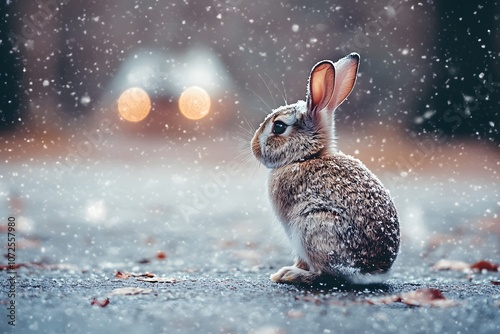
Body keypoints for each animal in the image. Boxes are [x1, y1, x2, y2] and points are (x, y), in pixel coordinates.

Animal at [252, 52, 400, 284]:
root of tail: (371, 272)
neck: (306, 157)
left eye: (279, 127)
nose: (254, 147)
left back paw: (290, 274)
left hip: (313, 226)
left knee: (323, 272)